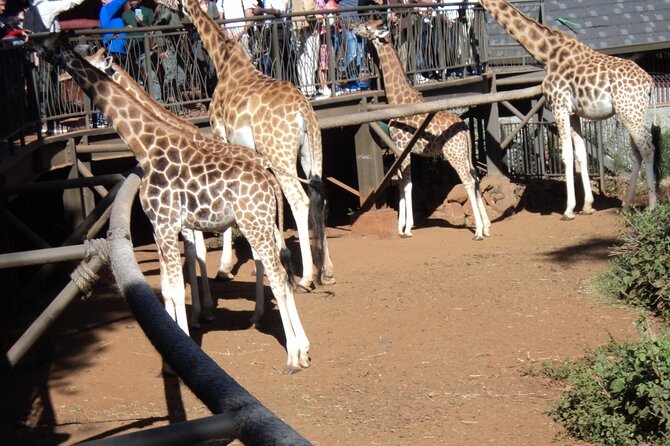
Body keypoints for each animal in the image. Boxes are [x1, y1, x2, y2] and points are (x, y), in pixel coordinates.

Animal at [30, 33, 310, 370]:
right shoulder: (160, 227)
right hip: (263, 222)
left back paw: (292, 354)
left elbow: (178, 286)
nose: (32, 45)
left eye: (53, 44)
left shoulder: (167, 224)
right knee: (281, 268)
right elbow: (166, 286)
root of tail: (269, 177)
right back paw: (301, 347)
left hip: (253, 223)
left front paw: (188, 343)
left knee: (277, 274)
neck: (145, 145)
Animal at [181, 0, 335, 292]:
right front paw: (266, 257)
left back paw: (307, 277)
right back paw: (327, 271)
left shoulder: (220, 136)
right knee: (319, 196)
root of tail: (304, 110)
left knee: (300, 201)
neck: (224, 62)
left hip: (281, 153)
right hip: (311, 151)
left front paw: (224, 268)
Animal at [350, 20, 491, 240]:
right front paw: (400, 226)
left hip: (454, 153)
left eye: (366, 26)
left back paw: (477, 231)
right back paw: (487, 226)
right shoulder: (399, 150)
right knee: (475, 177)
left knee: (467, 180)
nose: (351, 25)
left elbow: (407, 185)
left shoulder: (402, 147)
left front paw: (407, 228)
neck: (399, 100)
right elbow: (401, 185)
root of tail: (466, 129)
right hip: (465, 153)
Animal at [478, 0, 657, 219]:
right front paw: (587, 205)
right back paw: (626, 204)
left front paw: (569, 209)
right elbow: (580, 154)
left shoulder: (559, 106)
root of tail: (649, 82)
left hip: (629, 112)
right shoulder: (574, 113)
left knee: (647, 147)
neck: (546, 53)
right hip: (634, 113)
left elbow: (566, 155)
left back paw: (652, 205)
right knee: (637, 152)